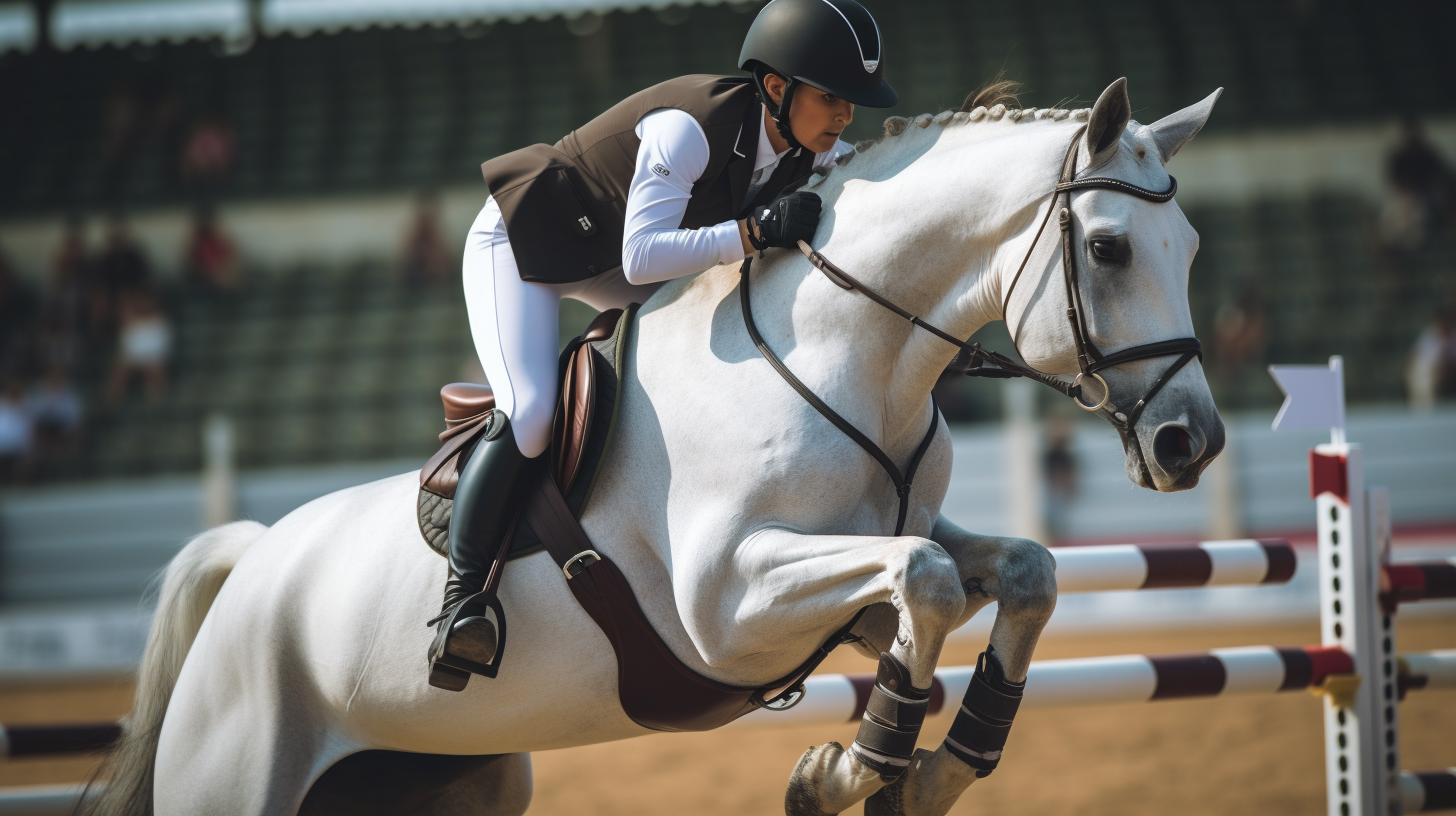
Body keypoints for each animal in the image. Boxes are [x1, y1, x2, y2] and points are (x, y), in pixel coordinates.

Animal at [91, 77, 1223, 816]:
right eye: (1109, 248)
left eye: (1192, 251)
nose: (1191, 444)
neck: (840, 355)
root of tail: (250, 568)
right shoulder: (726, 603)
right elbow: (929, 580)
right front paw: (841, 773)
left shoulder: (867, 570)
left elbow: (1016, 574)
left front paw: (930, 770)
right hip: (240, 776)